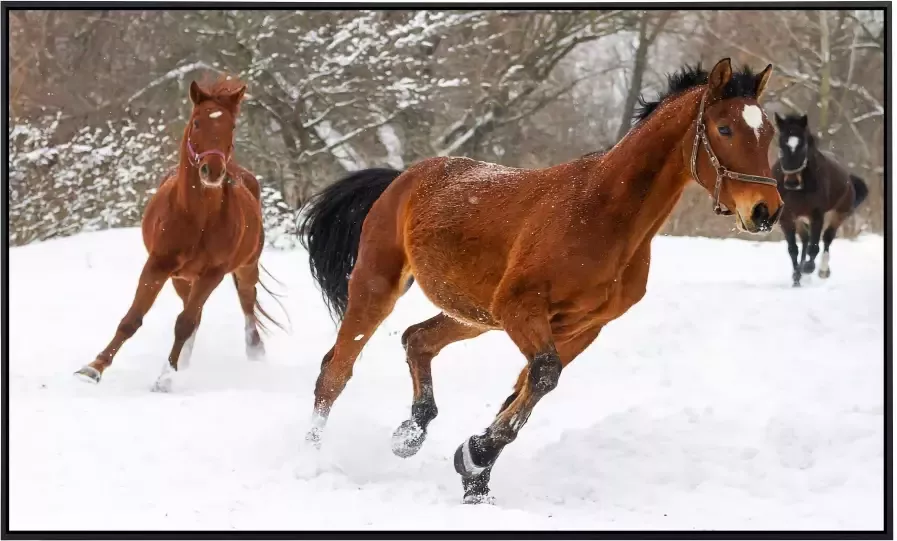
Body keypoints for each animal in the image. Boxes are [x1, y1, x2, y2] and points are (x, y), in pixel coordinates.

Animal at [74, 75, 280, 388]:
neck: (197, 217)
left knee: (245, 303)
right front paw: (93, 368)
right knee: (195, 311)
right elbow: (132, 319)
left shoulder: (213, 273)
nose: (212, 171)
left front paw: (166, 378)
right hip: (181, 279)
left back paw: (254, 352)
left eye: (231, 126)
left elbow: (184, 323)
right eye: (197, 122)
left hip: (245, 268)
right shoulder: (158, 265)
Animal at [298, 59, 780, 502]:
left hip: (474, 314)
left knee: (416, 340)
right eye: (724, 128)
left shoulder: (580, 327)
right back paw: (312, 460)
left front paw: (475, 475)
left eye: (770, 132)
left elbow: (524, 391)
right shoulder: (522, 310)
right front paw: (474, 459)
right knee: (334, 371)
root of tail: (401, 179)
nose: (765, 211)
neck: (604, 215)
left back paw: (409, 435)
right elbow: (543, 377)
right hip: (379, 286)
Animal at [768, 113, 868, 286]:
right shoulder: (786, 217)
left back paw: (822, 270)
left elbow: (814, 246)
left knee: (827, 238)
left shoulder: (816, 215)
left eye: (803, 146)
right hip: (800, 219)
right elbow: (793, 249)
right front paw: (796, 278)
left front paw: (808, 268)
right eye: (781, 145)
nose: (792, 182)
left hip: (838, 213)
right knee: (805, 239)